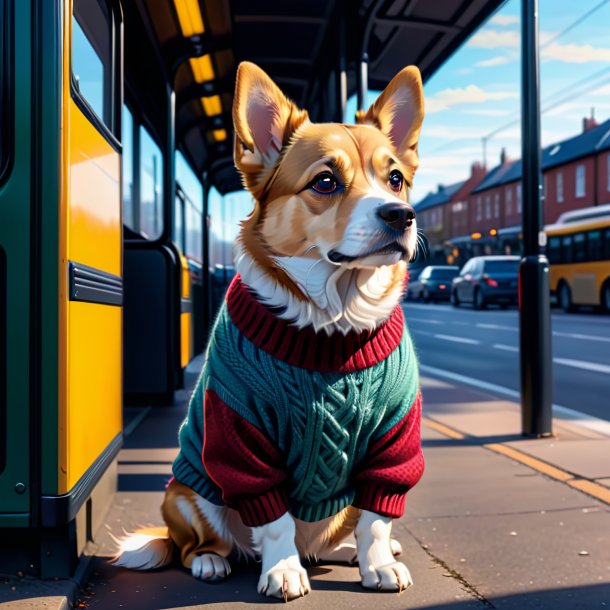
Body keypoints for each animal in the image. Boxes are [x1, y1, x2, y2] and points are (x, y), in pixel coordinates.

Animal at [113, 60, 422, 600]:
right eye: (325, 182)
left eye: (396, 179)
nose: (401, 215)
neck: (333, 323)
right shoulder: (241, 440)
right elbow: (274, 521)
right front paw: (282, 571)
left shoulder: (392, 443)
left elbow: (376, 520)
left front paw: (378, 562)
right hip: (186, 489)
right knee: (199, 543)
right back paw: (212, 561)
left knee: (337, 533)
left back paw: (344, 550)